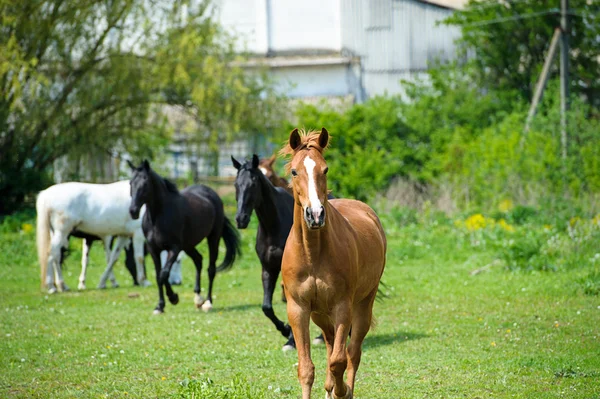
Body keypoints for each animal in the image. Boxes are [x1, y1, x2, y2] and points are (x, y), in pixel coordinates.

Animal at [127, 161, 240, 314]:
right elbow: (158, 276)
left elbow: (164, 274)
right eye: (130, 183)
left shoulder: (174, 248)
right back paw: (198, 299)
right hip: (188, 245)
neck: (158, 217)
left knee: (211, 269)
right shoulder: (153, 249)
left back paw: (207, 302)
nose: (133, 211)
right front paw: (160, 306)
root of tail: (212, 194)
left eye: (145, 183)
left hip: (213, 238)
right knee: (198, 260)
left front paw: (173, 298)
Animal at [232, 155, 324, 352]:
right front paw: (286, 331)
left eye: (253, 183)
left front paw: (290, 338)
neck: (273, 224)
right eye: (236, 184)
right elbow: (267, 307)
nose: (241, 219)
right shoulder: (268, 269)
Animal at [280, 129, 386, 399]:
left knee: (353, 353)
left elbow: (339, 361)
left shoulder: (342, 307)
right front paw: (328, 388)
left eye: (325, 169)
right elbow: (306, 368)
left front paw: (342, 391)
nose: (315, 215)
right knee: (329, 342)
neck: (312, 254)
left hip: (363, 306)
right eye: (294, 171)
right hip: (319, 313)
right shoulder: (298, 309)